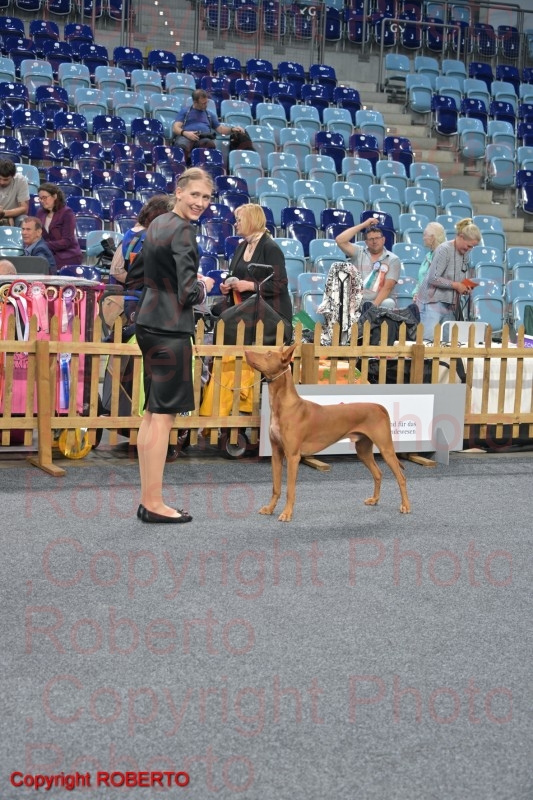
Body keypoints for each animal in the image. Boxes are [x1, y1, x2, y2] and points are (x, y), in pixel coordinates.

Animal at [244, 344, 411, 522]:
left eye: (268, 354)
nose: (246, 351)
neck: (283, 406)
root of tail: (379, 406)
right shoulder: (276, 453)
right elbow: (276, 487)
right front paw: (270, 509)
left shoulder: (292, 456)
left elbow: (290, 489)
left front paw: (287, 513)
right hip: (363, 450)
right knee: (378, 473)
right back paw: (375, 499)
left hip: (386, 449)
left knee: (401, 477)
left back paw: (406, 506)